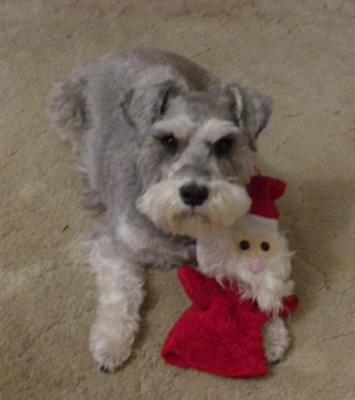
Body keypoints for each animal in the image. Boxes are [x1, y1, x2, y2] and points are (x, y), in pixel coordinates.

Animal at [48, 49, 290, 372]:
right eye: (169, 140)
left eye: (225, 144)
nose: (194, 193)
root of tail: (114, 53)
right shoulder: (113, 244)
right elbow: (121, 291)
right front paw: (111, 342)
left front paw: (272, 330)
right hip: (67, 112)